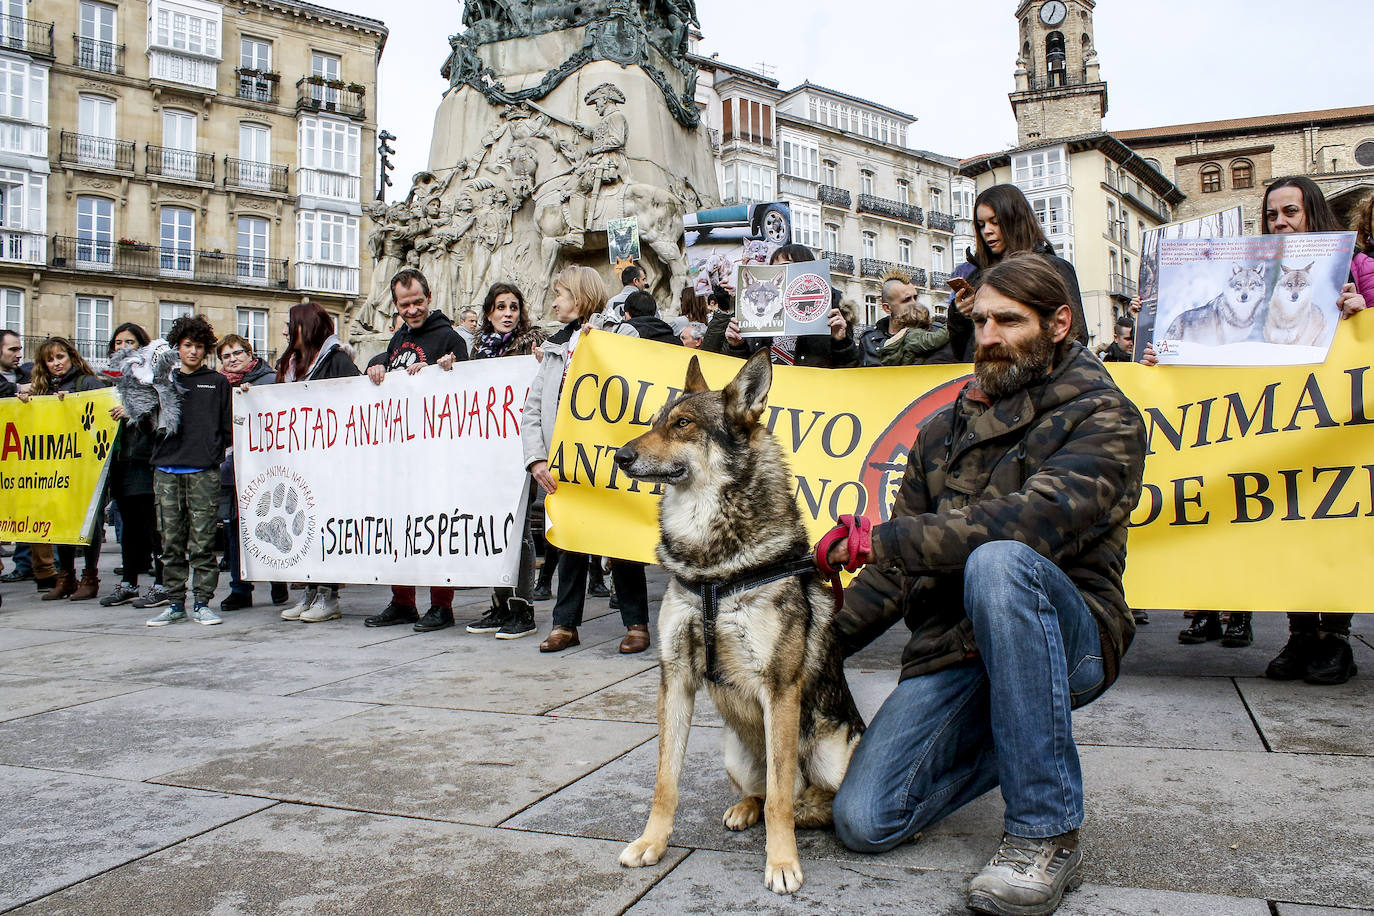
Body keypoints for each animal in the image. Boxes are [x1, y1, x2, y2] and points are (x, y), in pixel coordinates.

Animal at [614, 349, 865, 895]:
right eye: (654, 420)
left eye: (683, 424)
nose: (620, 457)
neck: (712, 570)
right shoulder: (675, 679)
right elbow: (666, 782)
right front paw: (651, 844)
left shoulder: (781, 688)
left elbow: (781, 801)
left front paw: (782, 863)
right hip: (736, 753)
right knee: (763, 792)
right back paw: (743, 810)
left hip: (834, 758)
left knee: (809, 798)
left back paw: (808, 808)